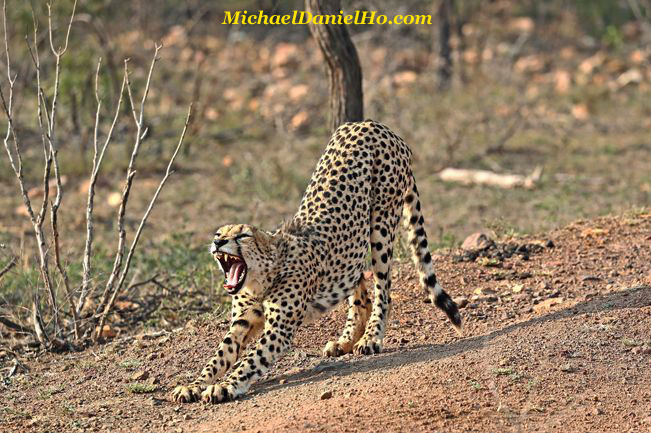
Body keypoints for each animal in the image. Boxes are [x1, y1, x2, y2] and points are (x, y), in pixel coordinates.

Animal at [171, 118, 460, 402]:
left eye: (242, 235)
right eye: (218, 233)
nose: (218, 242)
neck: (260, 279)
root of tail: (374, 124)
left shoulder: (279, 329)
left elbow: (250, 360)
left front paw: (225, 385)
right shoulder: (242, 321)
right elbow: (219, 356)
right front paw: (193, 385)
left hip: (381, 226)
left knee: (383, 289)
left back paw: (371, 337)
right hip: (355, 247)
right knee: (358, 286)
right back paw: (346, 340)